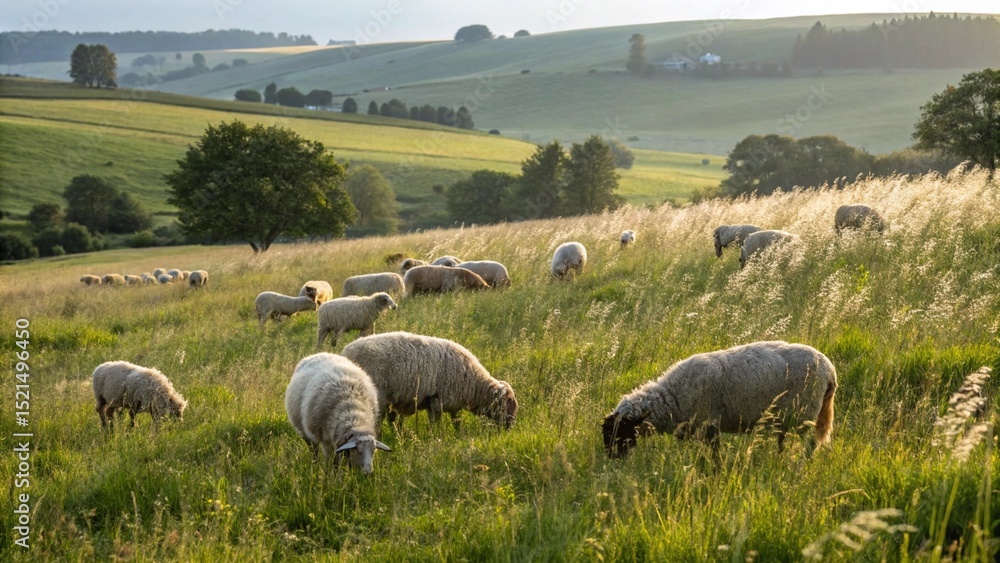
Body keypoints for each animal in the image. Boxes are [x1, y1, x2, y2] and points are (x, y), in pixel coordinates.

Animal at [341, 332, 518, 431]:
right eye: (506, 404)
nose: (510, 428)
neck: (473, 384)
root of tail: (346, 353)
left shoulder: (453, 404)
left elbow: (457, 422)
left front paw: (458, 436)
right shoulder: (436, 400)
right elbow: (435, 425)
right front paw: (435, 439)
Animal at [602, 341, 837, 458]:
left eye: (622, 430)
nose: (613, 459)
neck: (673, 398)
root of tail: (830, 371)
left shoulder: (709, 424)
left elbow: (715, 454)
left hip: (805, 413)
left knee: (810, 444)